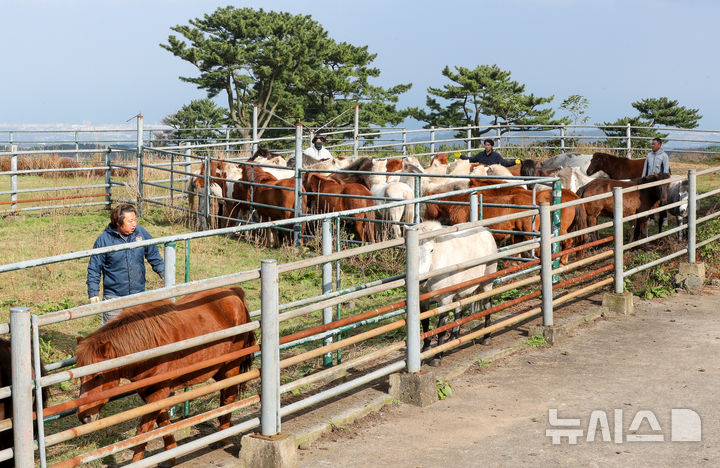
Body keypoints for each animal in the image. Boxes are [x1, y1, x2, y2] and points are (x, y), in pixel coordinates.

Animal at [75, 286, 256, 464]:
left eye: (98, 376)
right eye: (80, 376)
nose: (85, 417)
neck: (148, 349)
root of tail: (234, 292)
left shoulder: (157, 394)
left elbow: (143, 431)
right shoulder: (153, 395)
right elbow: (163, 424)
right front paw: (171, 455)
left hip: (231, 367)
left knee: (229, 396)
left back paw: (221, 436)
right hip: (218, 370)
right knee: (225, 395)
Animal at [417, 221, 498, 365]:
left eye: (431, 250)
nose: (422, 280)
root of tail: (485, 230)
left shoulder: (445, 299)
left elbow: (441, 327)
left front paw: (437, 357)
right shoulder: (423, 297)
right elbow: (425, 322)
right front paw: (426, 348)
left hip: (487, 282)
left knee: (488, 305)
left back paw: (486, 337)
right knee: (458, 309)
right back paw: (454, 336)